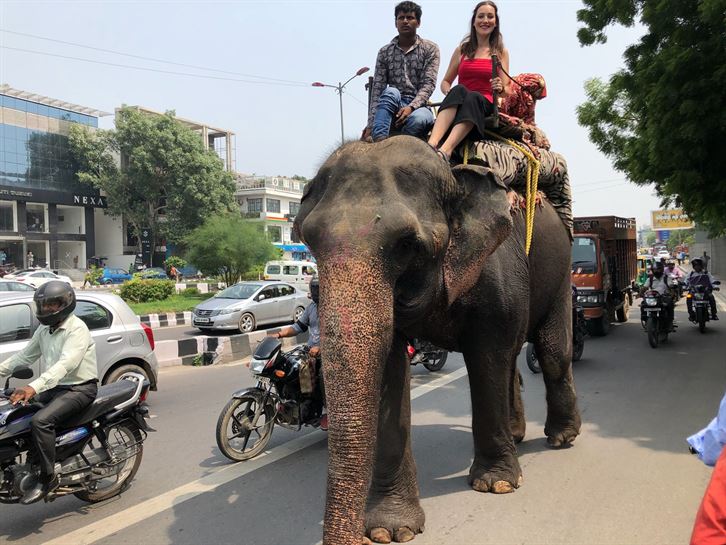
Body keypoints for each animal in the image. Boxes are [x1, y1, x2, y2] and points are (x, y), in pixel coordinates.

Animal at [294, 135, 581, 545]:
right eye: (309, 241)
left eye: (406, 244)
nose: (358, 538)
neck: (452, 173)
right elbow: (390, 366)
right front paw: (389, 530)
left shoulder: (498, 266)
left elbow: (487, 356)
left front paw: (496, 485)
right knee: (514, 357)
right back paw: (517, 435)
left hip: (559, 270)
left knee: (552, 352)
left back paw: (560, 438)